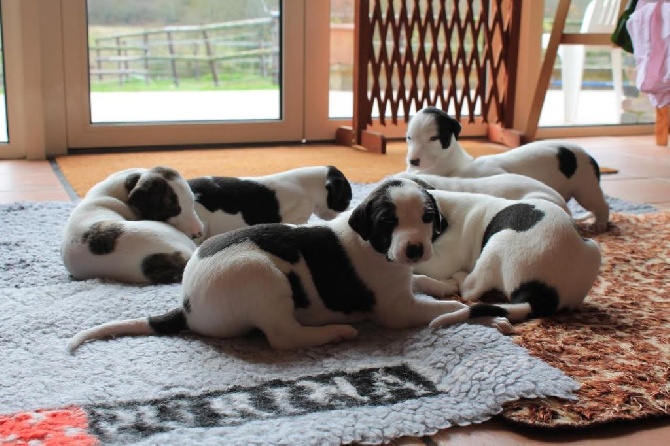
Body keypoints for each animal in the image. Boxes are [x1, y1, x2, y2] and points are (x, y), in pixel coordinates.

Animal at [67, 176, 510, 354]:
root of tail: (187, 305)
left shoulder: (403, 281)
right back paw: (334, 333)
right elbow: (439, 309)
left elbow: (423, 281)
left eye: (427, 218)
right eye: (388, 222)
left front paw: (445, 285)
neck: (374, 247)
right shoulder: (397, 310)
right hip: (265, 279)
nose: (416, 249)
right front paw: (473, 311)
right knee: (283, 337)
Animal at [406, 106, 612, 232]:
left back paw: (600, 224)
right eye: (409, 138)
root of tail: (588, 156)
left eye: (433, 138)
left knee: (601, 205)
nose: (413, 161)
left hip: (585, 188)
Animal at [414, 189, 604, 328]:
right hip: (593, 249)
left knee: (471, 289)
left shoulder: (442, 260)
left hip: (497, 242)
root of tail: (540, 296)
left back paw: (459, 277)